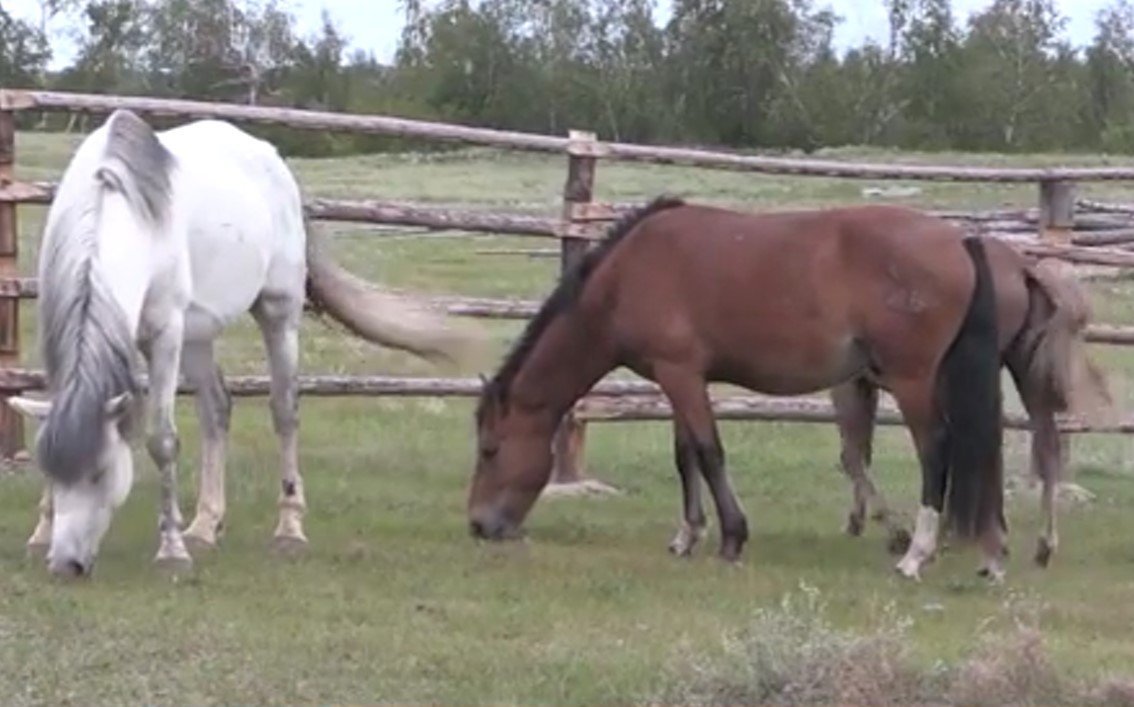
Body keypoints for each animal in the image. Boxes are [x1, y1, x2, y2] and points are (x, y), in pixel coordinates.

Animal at [5, 109, 474, 576]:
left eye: (101, 473)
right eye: (52, 468)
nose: (66, 564)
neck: (116, 213)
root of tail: (273, 159)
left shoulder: (164, 335)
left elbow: (162, 440)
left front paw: (172, 550)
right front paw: (41, 533)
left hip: (277, 314)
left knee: (285, 411)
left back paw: (288, 529)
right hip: (198, 335)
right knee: (217, 408)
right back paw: (204, 526)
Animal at [467, 195, 1011, 581]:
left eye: (491, 450)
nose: (478, 525)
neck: (626, 277)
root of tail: (960, 241)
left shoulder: (681, 374)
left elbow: (709, 453)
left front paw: (732, 539)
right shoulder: (679, 378)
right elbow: (685, 455)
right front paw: (687, 537)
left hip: (912, 379)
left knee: (936, 451)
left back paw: (916, 554)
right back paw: (987, 555)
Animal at [834, 251, 1106, 567]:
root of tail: (1023, 268)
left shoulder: (848, 385)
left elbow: (853, 456)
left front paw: (893, 531)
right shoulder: (864, 385)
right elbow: (860, 452)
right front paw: (859, 520)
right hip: (1022, 374)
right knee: (1045, 446)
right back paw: (1041, 544)